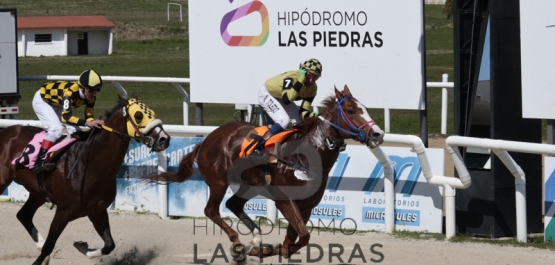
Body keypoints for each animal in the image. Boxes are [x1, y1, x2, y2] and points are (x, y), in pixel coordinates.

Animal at [0, 95, 169, 264]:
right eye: (139, 115)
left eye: (152, 112)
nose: (164, 139)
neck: (90, 165)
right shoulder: (63, 212)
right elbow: (50, 245)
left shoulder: (97, 211)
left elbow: (109, 245)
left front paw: (81, 246)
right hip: (3, 181)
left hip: (38, 193)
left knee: (23, 215)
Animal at [146, 85, 384, 260]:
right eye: (351, 110)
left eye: (365, 108)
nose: (377, 134)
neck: (306, 155)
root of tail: (206, 140)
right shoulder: (284, 199)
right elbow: (303, 236)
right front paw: (271, 249)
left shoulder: (307, 205)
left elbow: (296, 237)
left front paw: (273, 249)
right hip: (218, 182)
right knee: (211, 210)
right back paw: (238, 245)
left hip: (250, 185)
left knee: (234, 204)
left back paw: (256, 240)